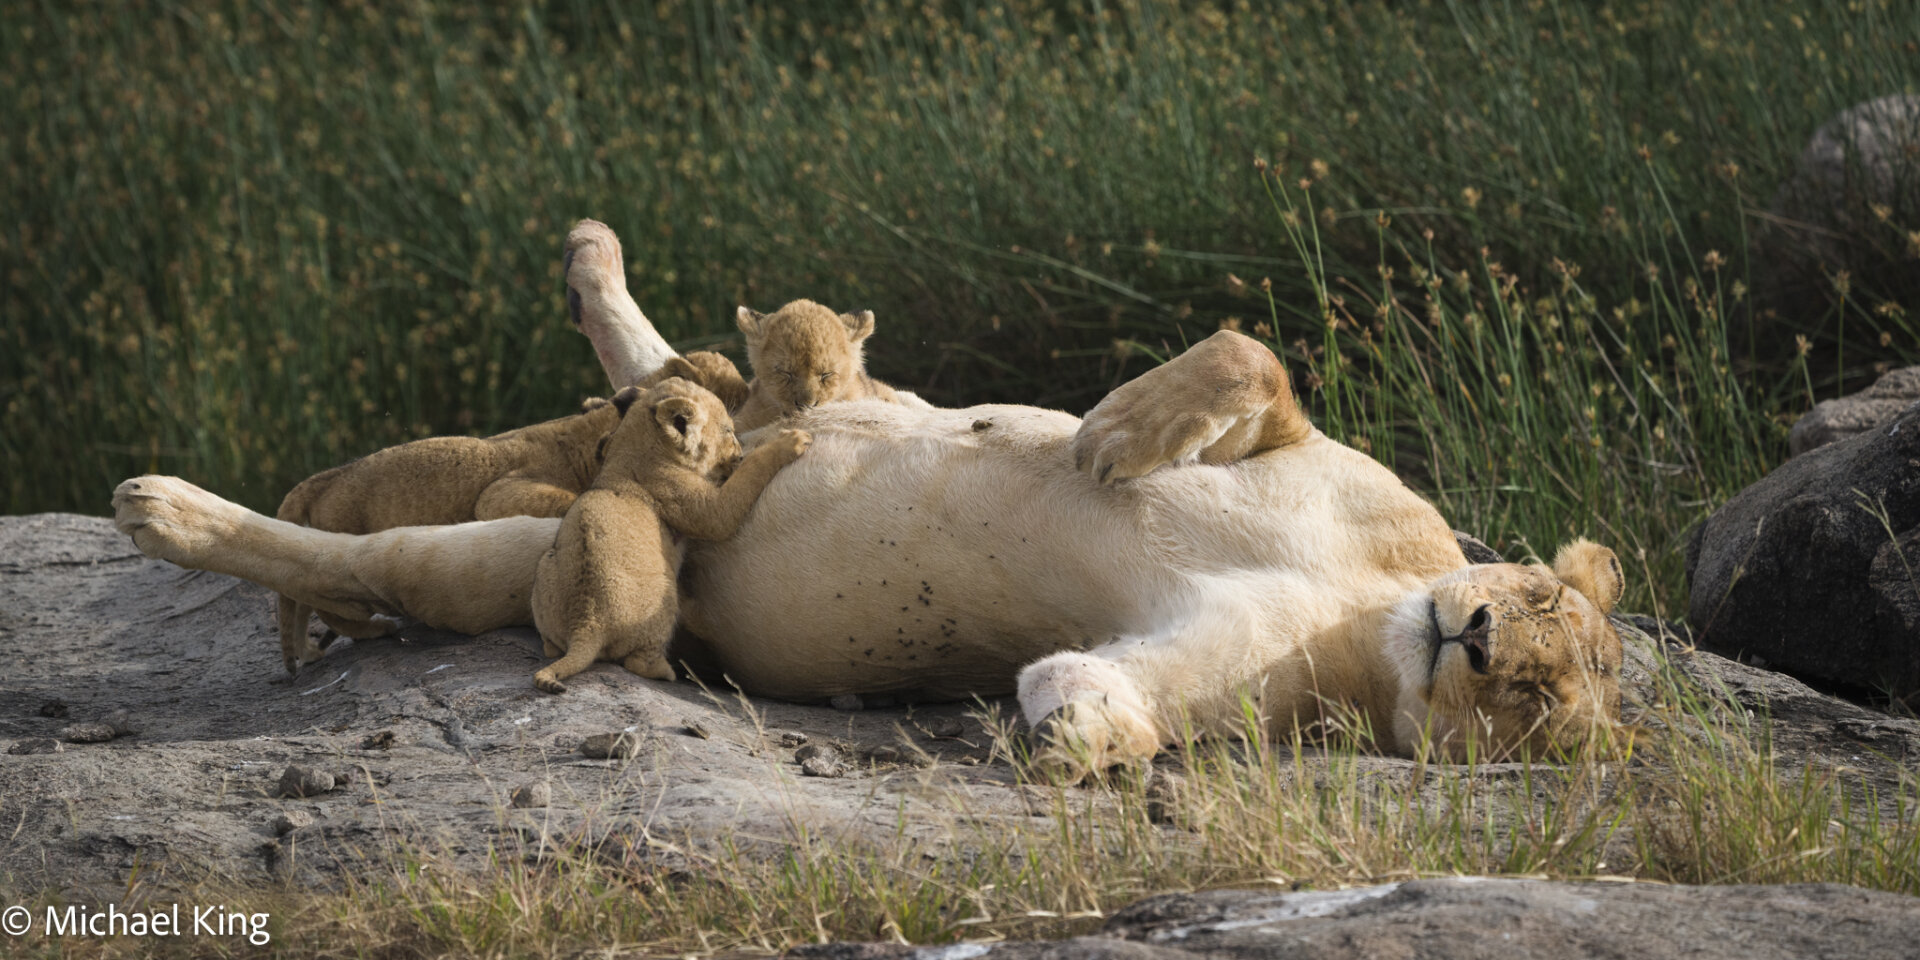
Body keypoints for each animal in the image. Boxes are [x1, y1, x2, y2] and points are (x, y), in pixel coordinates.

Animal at [531, 378, 809, 692]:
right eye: (728, 430)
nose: (739, 450)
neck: (634, 444)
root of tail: (586, 625)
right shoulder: (702, 507)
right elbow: (742, 484)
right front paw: (792, 440)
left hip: (545, 574)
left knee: (552, 646)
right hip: (665, 597)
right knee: (637, 662)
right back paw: (666, 671)